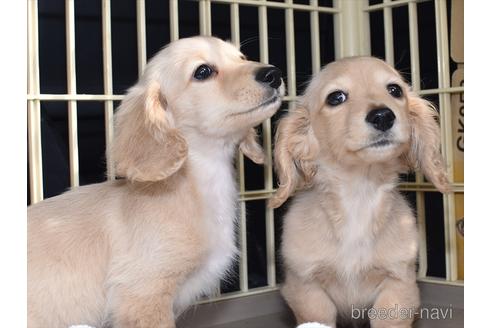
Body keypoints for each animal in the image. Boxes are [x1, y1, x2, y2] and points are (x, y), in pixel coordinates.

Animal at [270, 57, 450, 326]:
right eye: (336, 97)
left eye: (395, 90)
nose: (383, 116)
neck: (359, 196)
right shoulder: (305, 287)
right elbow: (318, 316)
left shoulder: (399, 286)